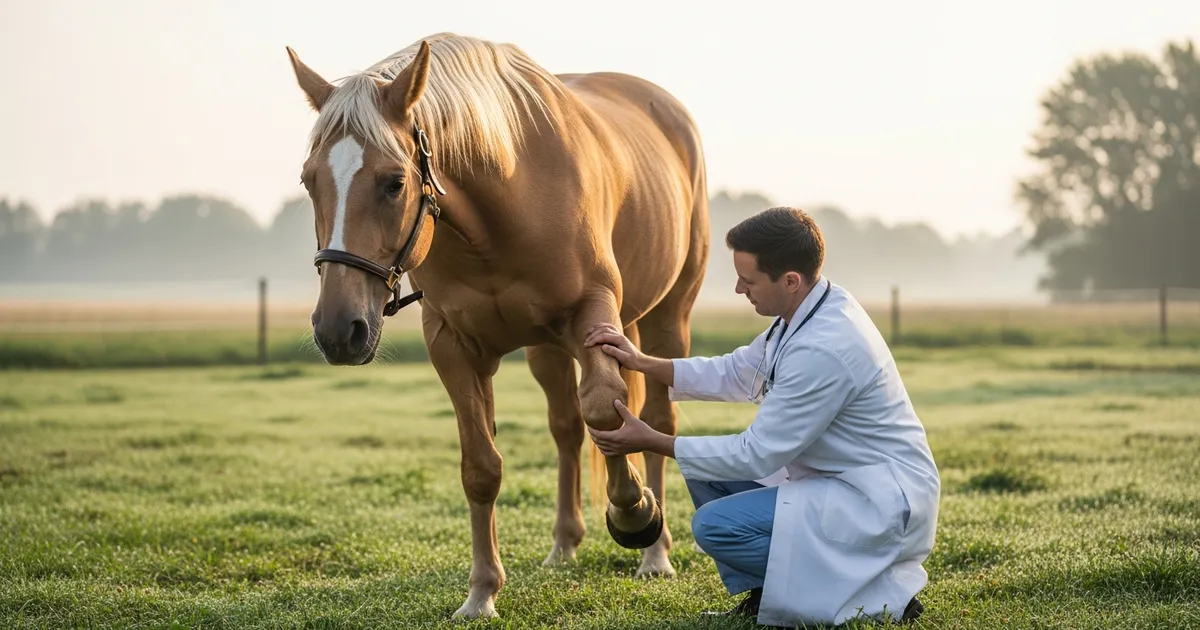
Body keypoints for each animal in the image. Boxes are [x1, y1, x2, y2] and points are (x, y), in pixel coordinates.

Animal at [286, 32, 709, 619]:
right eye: (310, 182)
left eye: (394, 183)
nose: (336, 329)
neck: (504, 200)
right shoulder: (453, 344)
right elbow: (482, 467)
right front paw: (482, 592)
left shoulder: (592, 313)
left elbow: (607, 411)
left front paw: (635, 514)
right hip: (546, 349)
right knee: (566, 426)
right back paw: (564, 545)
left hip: (669, 315)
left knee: (653, 419)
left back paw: (656, 554)